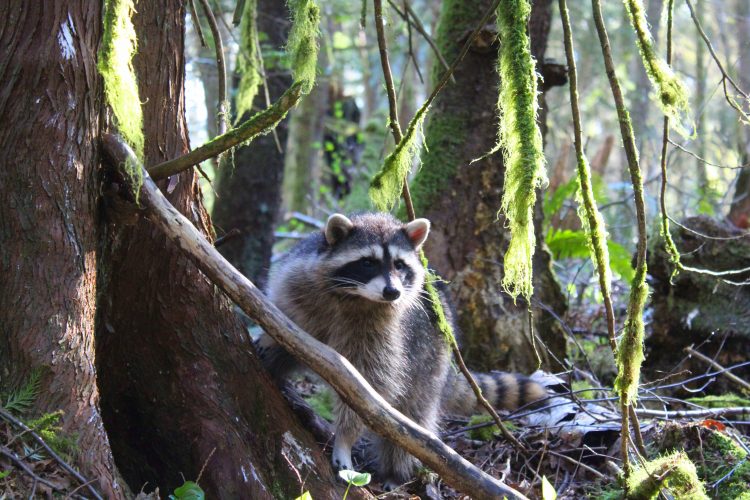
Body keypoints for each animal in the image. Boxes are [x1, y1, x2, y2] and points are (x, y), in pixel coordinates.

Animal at [257, 212, 545, 488]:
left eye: (399, 265)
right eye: (367, 262)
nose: (392, 292)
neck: (354, 296)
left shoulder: (386, 332)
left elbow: (368, 389)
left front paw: (345, 438)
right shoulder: (299, 281)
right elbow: (284, 318)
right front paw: (269, 340)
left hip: (430, 365)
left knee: (412, 416)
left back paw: (396, 472)